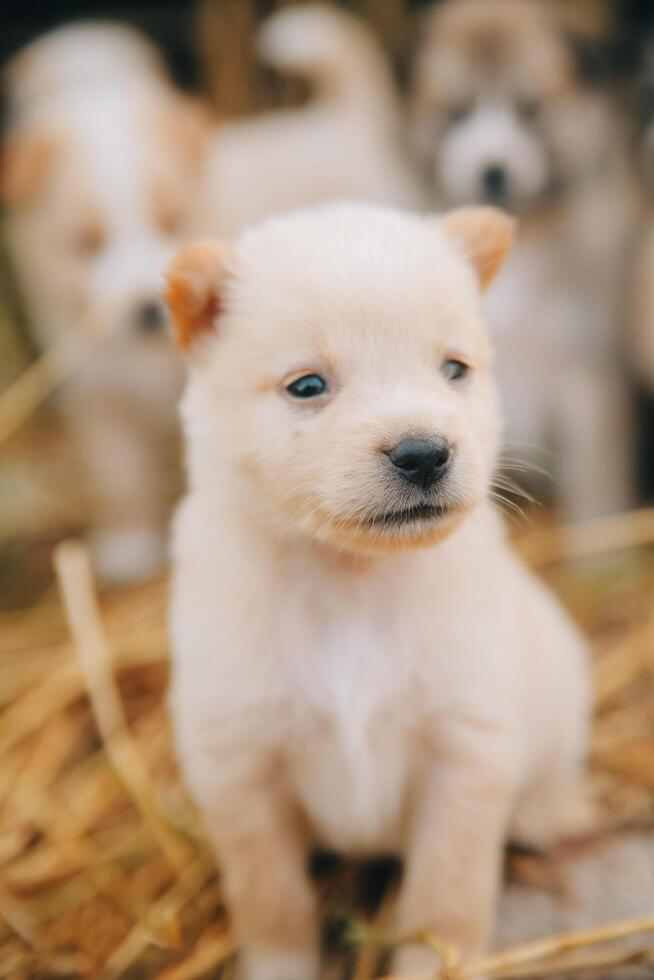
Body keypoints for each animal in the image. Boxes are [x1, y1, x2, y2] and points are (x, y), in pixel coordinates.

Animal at [0, 23, 210, 580]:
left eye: (171, 219)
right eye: (86, 242)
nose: (147, 307)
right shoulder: (95, 394)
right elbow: (120, 475)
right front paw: (128, 545)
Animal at [165, 203, 596, 976]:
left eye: (453, 369)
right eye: (307, 386)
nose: (424, 453)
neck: (352, 583)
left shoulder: (466, 749)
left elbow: (442, 901)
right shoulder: (238, 764)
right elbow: (270, 902)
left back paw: (556, 814)